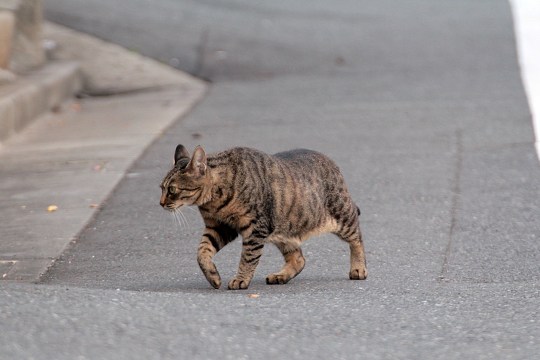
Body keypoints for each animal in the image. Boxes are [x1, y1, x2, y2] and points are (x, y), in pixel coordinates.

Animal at [160, 145, 368, 288]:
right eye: (161, 188)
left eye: (172, 190)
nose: (161, 203)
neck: (213, 200)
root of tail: (331, 162)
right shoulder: (219, 227)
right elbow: (202, 251)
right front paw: (212, 276)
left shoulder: (254, 228)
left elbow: (248, 257)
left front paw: (241, 279)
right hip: (282, 232)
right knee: (299, 259)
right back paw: (280, 276)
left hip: (341, 215)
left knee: (357, 236)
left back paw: (358, 268)